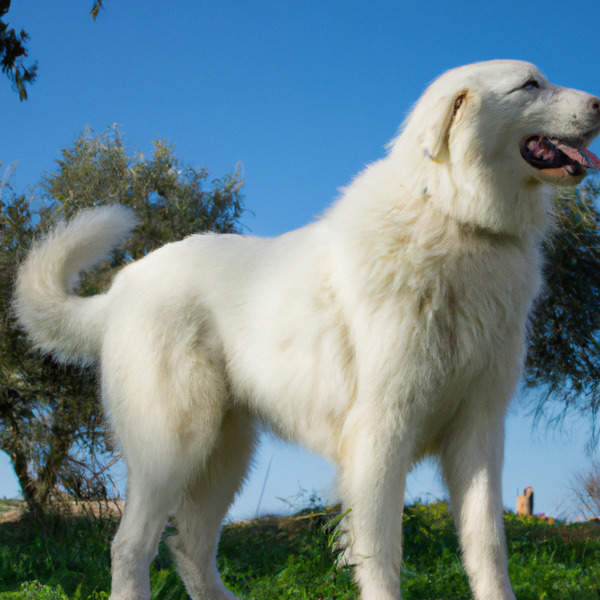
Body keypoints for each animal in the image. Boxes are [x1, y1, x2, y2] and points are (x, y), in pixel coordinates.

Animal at [12, 62, 600, 600]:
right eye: (530, 84)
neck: (457, 218)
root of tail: (121, 288)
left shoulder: (479, 431)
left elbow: (487, 547)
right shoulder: (382, 431)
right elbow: (381, 550)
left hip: (224, 455)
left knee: (189, 547)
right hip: (173, 447)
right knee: (131, 546)